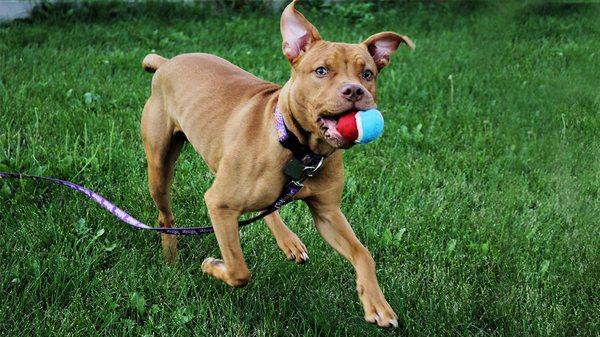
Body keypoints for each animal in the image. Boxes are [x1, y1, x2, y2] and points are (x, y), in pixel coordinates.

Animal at [141, 0, 412, 326]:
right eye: (321, 70)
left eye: (368, 74)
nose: (354, 90)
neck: (299, 149)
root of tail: (166, 62)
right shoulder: (219, 204)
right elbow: (239, 270)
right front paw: (212, 265)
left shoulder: (328, 213)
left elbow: (363, 254)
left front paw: (377, 303)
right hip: (160, 168)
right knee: (165, 217)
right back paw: (171, 260)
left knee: (267, 208)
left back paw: (288, 241)